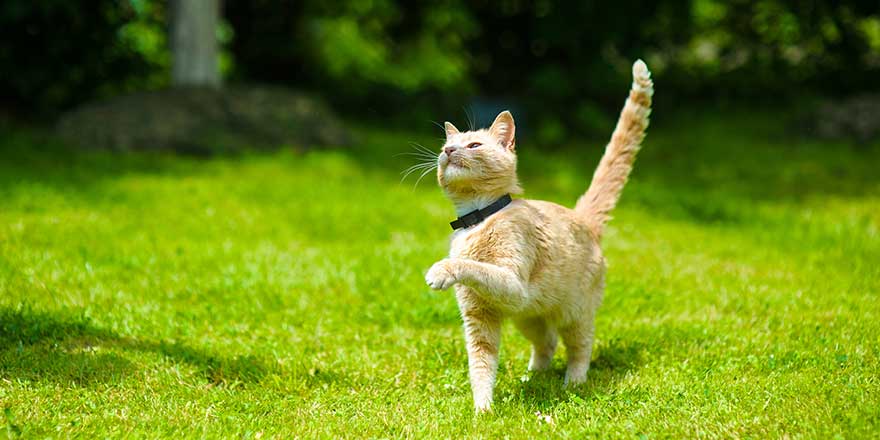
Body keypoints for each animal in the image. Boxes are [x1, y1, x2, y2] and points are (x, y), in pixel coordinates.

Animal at [426, 59, 652, 412]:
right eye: (444, 147)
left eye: (474, 145)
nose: (449, 150)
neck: (478, 217)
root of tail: (583, 218)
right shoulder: (480, 317)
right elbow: (481, 365)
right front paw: (482, 410)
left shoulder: (512, 284)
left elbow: (473, 267)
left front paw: (441, 270)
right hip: (528, 318)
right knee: (547, 342)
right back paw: (532, 377)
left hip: (574, 314)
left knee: (579, 347)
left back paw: (573, 382)